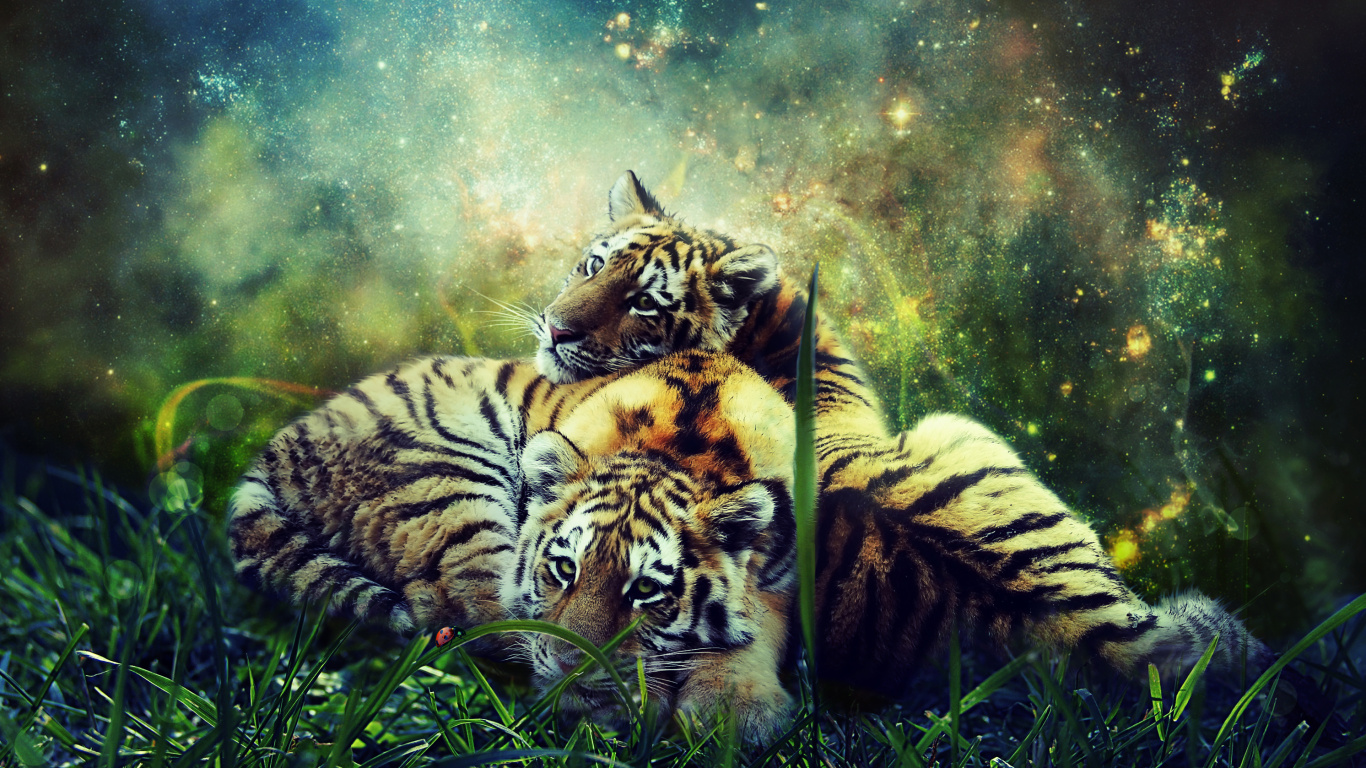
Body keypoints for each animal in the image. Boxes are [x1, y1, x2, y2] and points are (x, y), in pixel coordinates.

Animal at [228, 350, 800, 740]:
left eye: (644, 591)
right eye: (565, 569)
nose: (571, 668)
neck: (684, 451)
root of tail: (285, 442)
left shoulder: (786, 575)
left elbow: (755, 628)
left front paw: (734, 715)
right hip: (453, 480)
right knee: (459, 615)